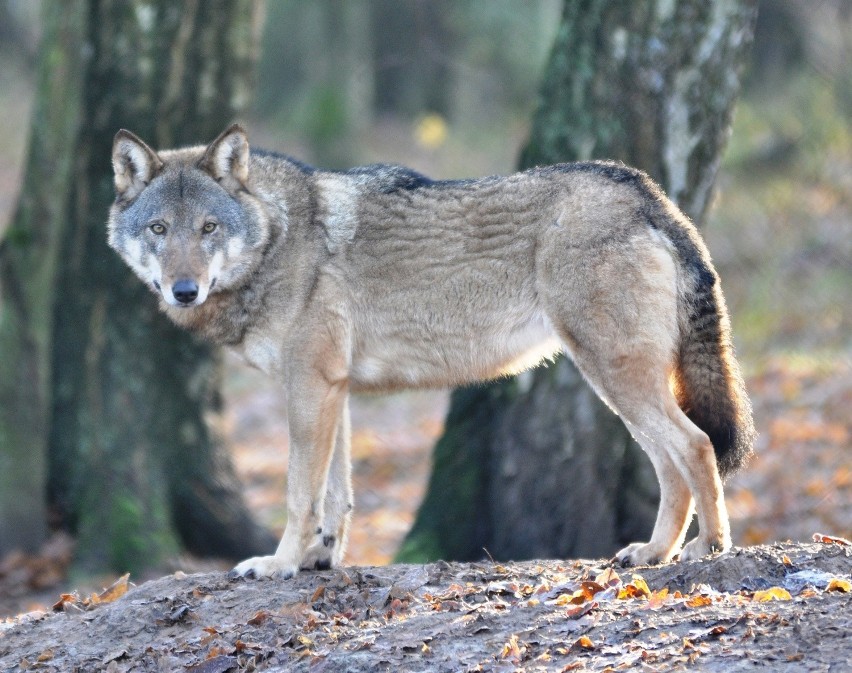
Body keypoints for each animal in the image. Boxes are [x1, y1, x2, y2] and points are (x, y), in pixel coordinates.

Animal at [106, 123, 752, 576]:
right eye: (159, 230)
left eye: (208, 229)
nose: (183, 290)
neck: (278, 239)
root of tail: (647, 192)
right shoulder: (332, 389)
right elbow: (335, 497)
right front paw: (318, 561)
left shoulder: (310, 385)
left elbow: (299, 493)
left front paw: (279, 564)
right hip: (616, 384)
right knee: (671, 463)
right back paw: (654, 553)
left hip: (615, 375)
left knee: (695, 446)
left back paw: (708, 548)